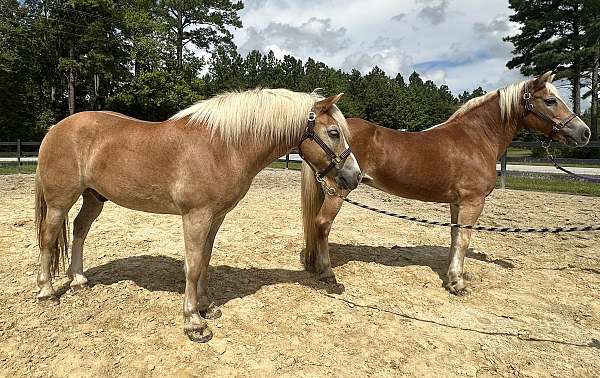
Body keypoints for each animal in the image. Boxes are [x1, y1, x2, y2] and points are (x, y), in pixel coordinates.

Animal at [302, 71, 592, 296]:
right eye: (551, 101)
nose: (585, 132)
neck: (476, 138)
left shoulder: (457, 203)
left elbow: (455, 237)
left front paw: (455, 275)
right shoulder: (473, 201)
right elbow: (464, 239)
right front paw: (457, 283)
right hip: (339, 190)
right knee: (322, 224)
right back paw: (326, 273)